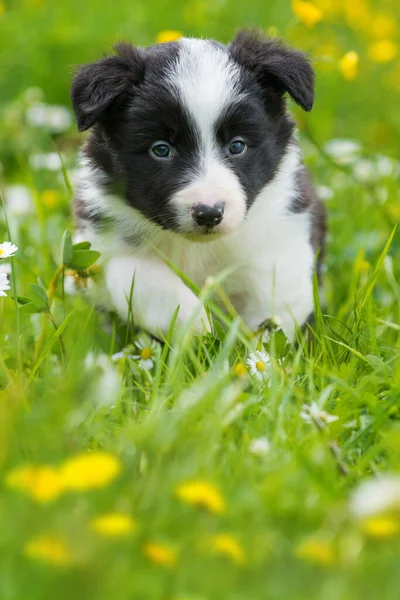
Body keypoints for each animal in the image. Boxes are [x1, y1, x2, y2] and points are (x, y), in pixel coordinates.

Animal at [71, 30, 324, 340]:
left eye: (237, 145)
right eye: (161, 149)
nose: (209, 213)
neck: (198, 247)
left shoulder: (282, 237)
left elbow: (273, 305)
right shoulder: (99, 244)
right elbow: (137, 274)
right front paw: (193, 323)